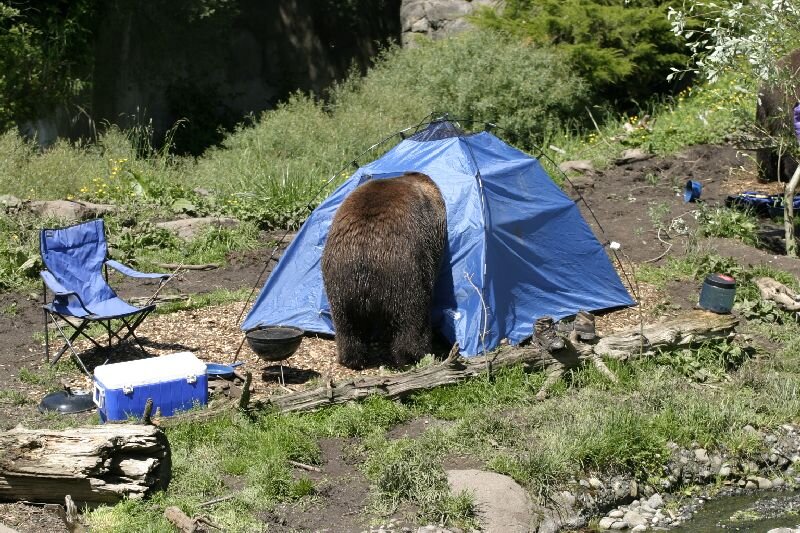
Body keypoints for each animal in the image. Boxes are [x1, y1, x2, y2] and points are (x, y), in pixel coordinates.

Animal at [322, 172, 446, 368]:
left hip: (339, 279)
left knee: (347, 324)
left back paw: (352, 357)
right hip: (405, 273)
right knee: (412, 317)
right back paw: (413, 355)